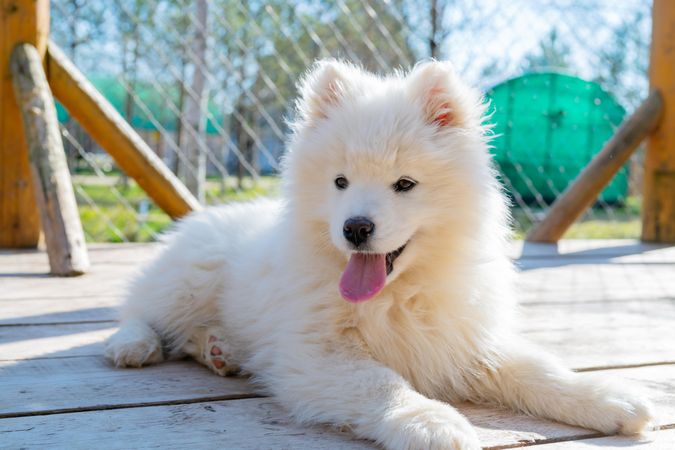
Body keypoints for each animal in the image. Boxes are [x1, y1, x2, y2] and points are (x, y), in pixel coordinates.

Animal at [105, 60, 656, 450]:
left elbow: (536, 368)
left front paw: (608, 396)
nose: (355, 228)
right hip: (190, 278)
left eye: (405, 184)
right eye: (340, 182)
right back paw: (134, 345)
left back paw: (220, 350)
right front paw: (433, 423)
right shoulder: (316, 353)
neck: (399, 294)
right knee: (138, 309)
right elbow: (381, 383)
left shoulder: (464, 339)